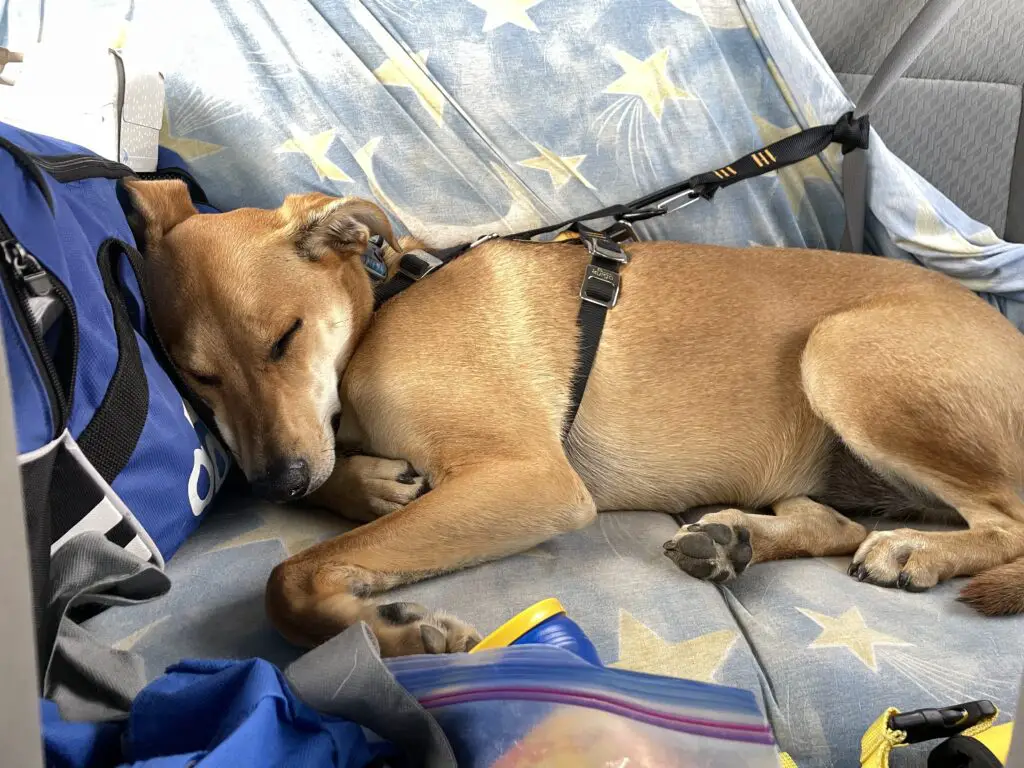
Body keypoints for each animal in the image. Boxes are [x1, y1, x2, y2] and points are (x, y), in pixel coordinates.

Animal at [125, 180, 1024, 655]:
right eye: (198, 377)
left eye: (283, 338)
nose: (277, 483)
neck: (386, 304)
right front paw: (370, 487)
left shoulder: (530, 478)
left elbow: (292, 577)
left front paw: (396, 633)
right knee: (832, 520)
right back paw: (733, 537)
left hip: (843, 350)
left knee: (1003, 522)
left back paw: (914, 550)